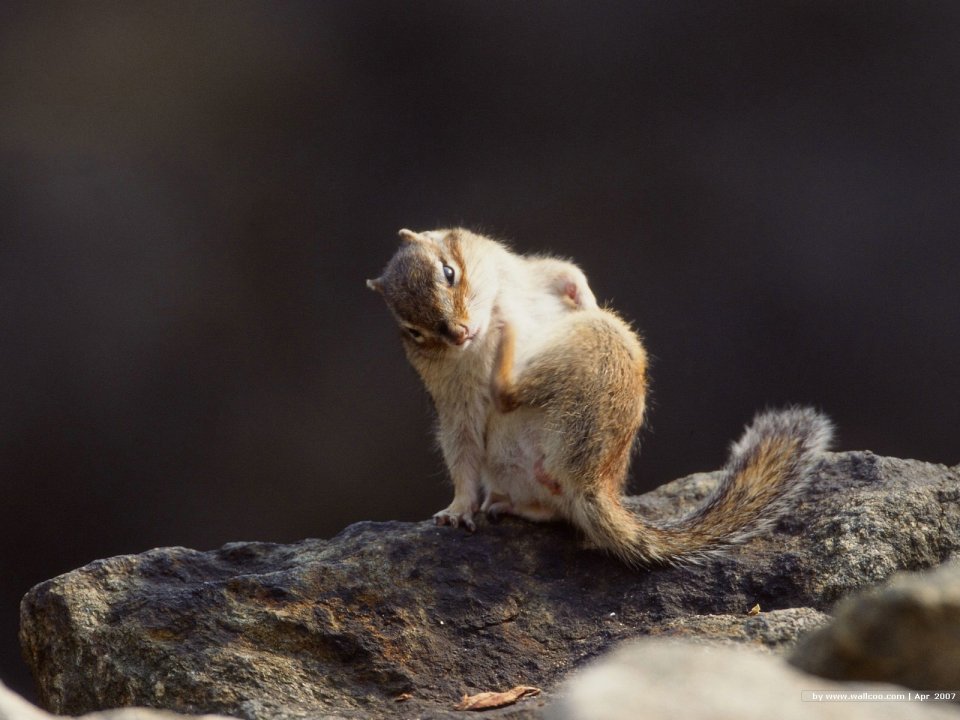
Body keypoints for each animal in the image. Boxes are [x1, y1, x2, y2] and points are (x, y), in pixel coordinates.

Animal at [367, 227, 833, 566]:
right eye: (413, 333)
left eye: (449, 272)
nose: (459, 334)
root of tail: (594, 481)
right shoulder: (455, 399)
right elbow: (461, 447)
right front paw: (458, 508)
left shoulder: (526, 271)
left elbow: (565, 270)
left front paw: (584, 296)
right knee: (507, 404)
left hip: (602, 342)